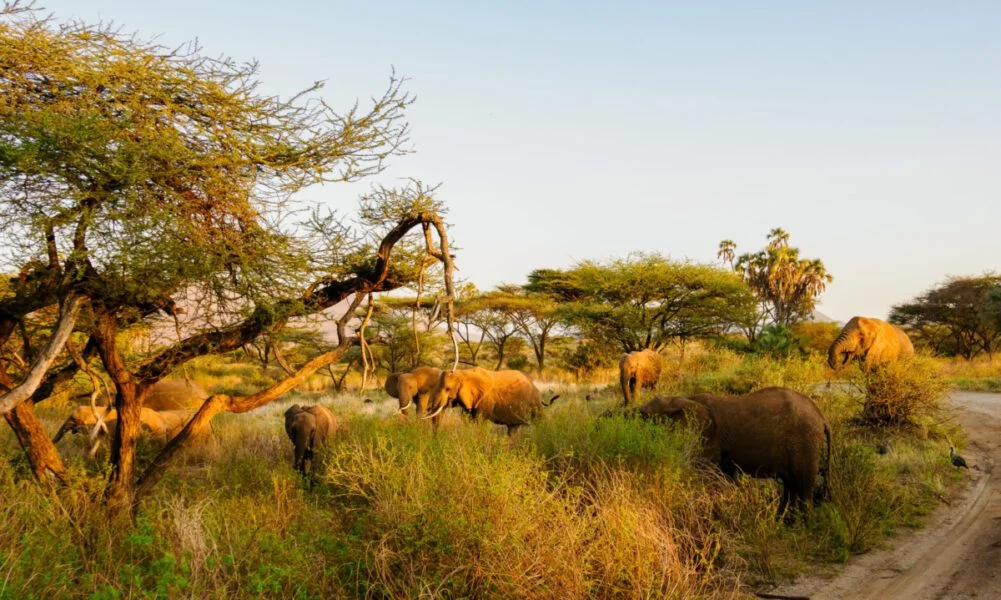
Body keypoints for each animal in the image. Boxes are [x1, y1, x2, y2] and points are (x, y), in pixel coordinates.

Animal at [423, 367, 559, 434]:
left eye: (447, 389)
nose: (435, 440)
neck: (463, 373)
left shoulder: (485, 399)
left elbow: (479, 422)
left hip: (535, 404)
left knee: (540, 421)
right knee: (512, 429)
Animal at [637, 387, 832, 515]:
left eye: (645, 416)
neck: (681, 398)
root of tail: (822, 417)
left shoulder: (707, 439)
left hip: (805, 442)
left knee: (803, 487)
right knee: (790, 485)